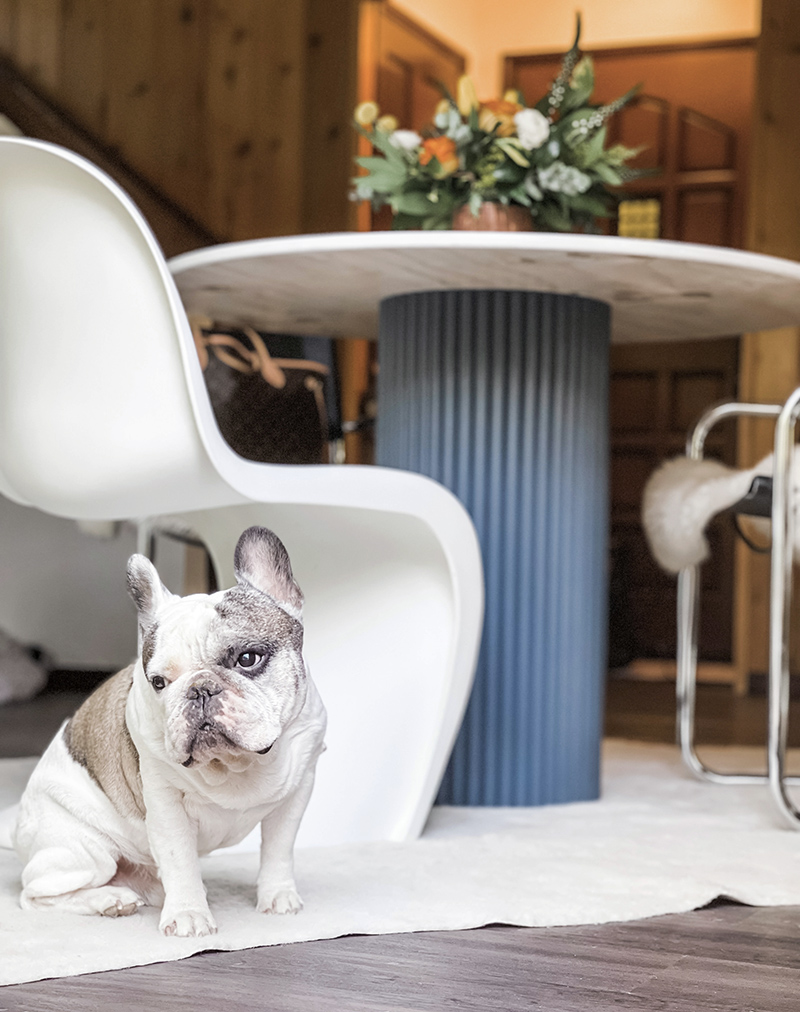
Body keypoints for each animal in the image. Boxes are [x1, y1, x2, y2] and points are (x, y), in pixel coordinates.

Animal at [7, 526, 327, 935]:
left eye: (247, 658)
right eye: (158, 682)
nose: (199, 689)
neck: (233, 764)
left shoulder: (296, 794)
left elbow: (278, 851)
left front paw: (278, 896)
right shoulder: (165, 806)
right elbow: (180, 859)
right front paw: (189, 914)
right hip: (84, 849)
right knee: (35, 895)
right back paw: (109, 900)